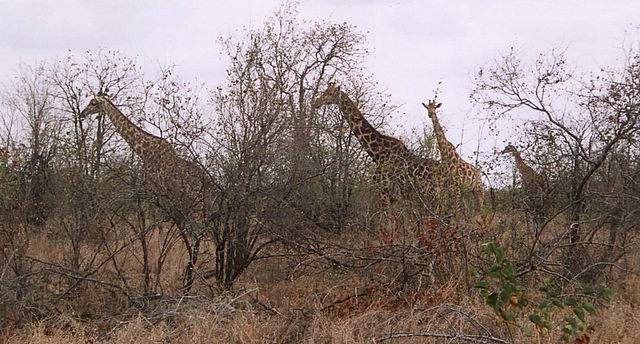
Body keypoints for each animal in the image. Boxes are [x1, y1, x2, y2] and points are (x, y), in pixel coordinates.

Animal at [312, 82, 442, 208]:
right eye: (325, 91)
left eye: (329, 94)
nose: (315, 103)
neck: (377, 153)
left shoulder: (385, 187)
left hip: (431, 192)